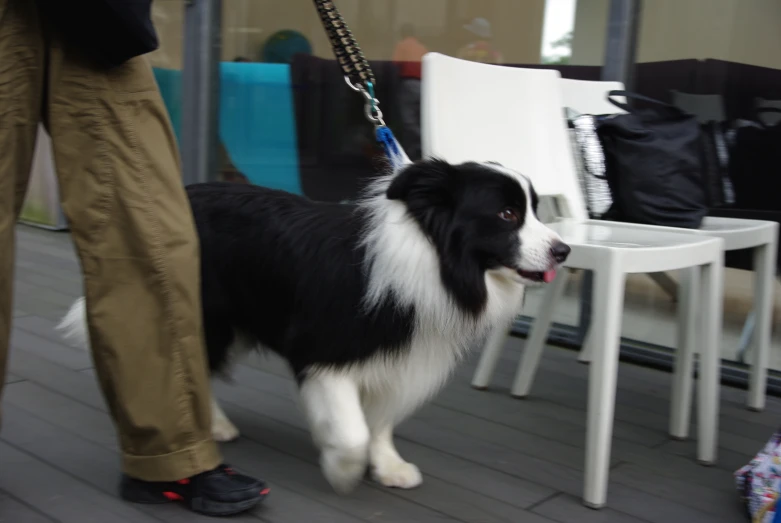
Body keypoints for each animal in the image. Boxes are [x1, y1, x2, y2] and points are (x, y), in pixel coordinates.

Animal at [54, 160, 568, 496]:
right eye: (506, 214)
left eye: (534, 209)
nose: (563, 251)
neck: (431, 258)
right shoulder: (323, 352)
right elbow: (353, 427)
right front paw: (342, 466)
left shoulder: (400, 356)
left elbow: (381, 419)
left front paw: (388, 465)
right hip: (208, 315)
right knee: (192, 360)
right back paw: (213, 427)